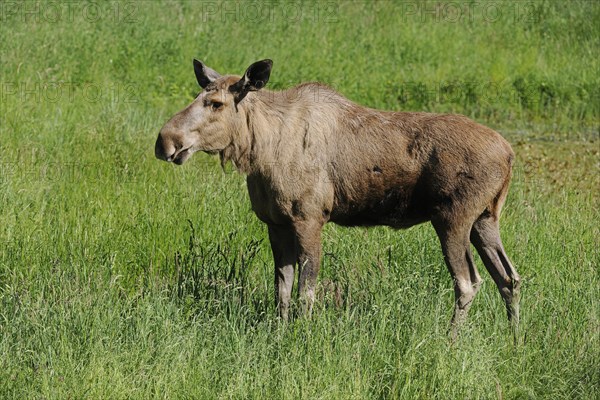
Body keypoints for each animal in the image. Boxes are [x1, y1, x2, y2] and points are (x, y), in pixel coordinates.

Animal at [155, 57, 520, 336]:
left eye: (216, 103)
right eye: (198, 96)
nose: (165, 141)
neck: (260, 151)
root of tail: (509, 154)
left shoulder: (309, 218)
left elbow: (306, 292)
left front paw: (301, 337)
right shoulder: (276, 223)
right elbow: (282, 291)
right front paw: (279, 334)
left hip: (452, 218)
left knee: (468, 282)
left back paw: (449, 341)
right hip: (485, 219)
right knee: (509, 278)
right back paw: (514, 340)